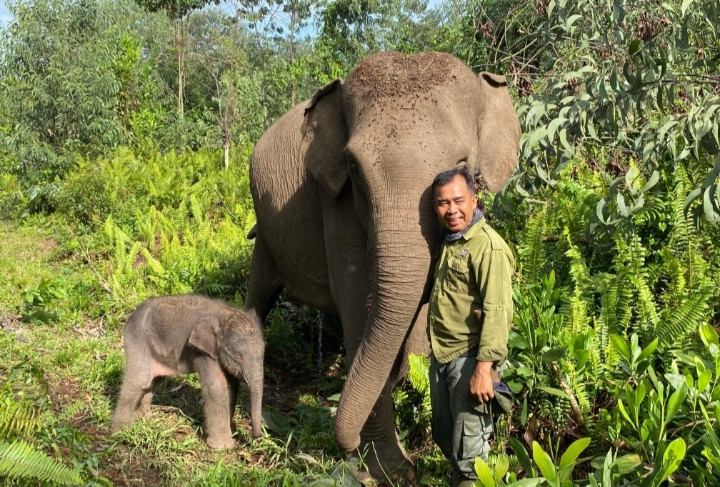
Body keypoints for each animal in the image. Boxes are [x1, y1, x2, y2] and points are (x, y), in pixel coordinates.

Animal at [111, 295, 264, 448]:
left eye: (264, 351)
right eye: (238, 356)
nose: (254, 436)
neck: (225, 313)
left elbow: (232, 385)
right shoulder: (201, 351)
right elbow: (217, 386)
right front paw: (222, 447)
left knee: (153, 381)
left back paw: (142, 418)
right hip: (138, 340)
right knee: (138, 381)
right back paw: (120, 433)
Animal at [245, 51, 521, 480]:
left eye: (463, 163)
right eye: (354, 169)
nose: (345, 445)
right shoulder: (337, 204)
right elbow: (358, 304)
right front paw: (388, 468)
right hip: (265, 226)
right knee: (259, 293)